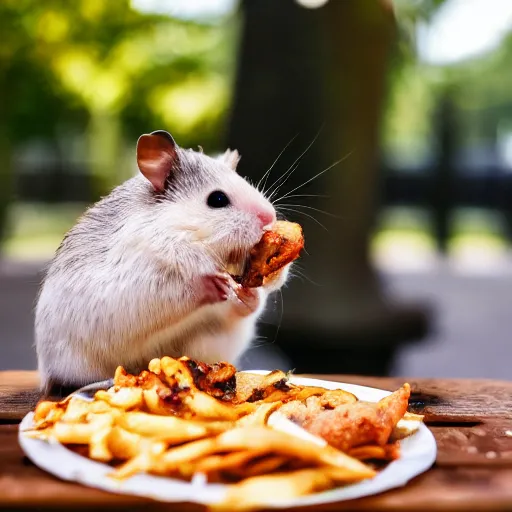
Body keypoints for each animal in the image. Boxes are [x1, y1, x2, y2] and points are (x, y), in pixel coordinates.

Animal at [35, 131, 290, 392]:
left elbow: (246, 305)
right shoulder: (141, 282)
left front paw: (249, 294)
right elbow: (184, 289)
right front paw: (213, 284)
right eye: (217, 199)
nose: (269, 217)